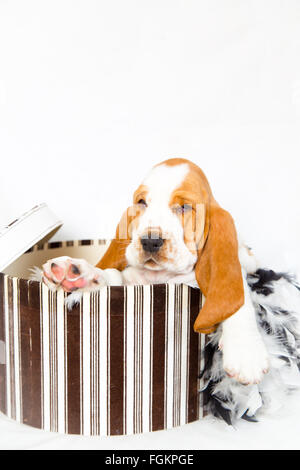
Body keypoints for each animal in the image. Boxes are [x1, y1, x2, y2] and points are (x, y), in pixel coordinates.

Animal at [42, 158, 270, 386]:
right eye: (142, 202)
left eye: (185, 207)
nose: (150, 241)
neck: (161, 275)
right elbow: (111, 274)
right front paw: (81, 274)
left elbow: (234, 294)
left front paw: (246, 351)